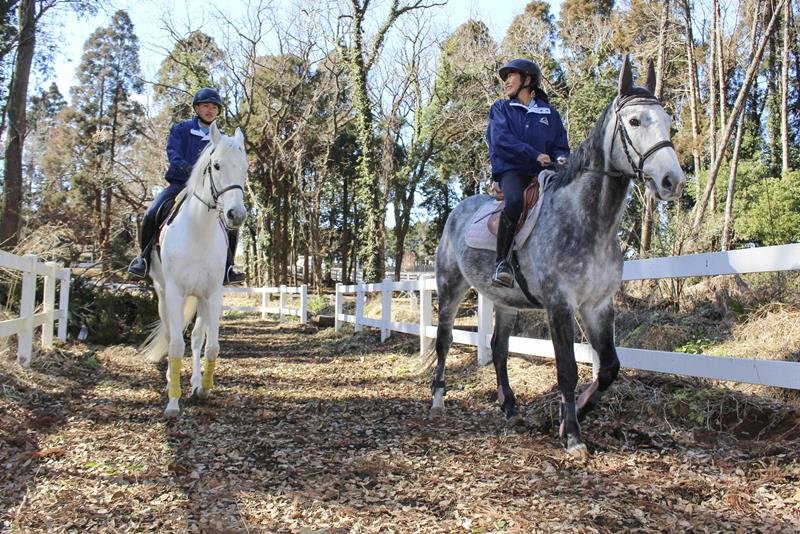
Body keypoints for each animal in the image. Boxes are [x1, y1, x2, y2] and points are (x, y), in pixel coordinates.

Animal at [143, 122, 248, 418]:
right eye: (216, 165)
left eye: (244, 167)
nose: (237, 215)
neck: (199, 231)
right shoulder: (175, 292)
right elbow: (175, 344)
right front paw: (173, 402)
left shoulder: (212, 294)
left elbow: (210, 346)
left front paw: (203, 388)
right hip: (163, 293)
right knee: (171, 335)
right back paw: (172, 381)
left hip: (198, 297)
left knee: (196, 339)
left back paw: (194, 381)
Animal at [430, 56, 686, 456]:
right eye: (634, 121)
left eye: (667, 120)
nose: (672, 182)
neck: (589, 221)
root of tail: (459, 210)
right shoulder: (560, 303)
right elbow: (567, 368)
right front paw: (574, 437)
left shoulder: (598, 305)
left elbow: (608, 368)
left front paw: (572, 417)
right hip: (450, 288)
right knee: (444, 340)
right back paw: (438, 400)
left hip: (505, 301)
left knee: (498, 349)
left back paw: (510, 408)